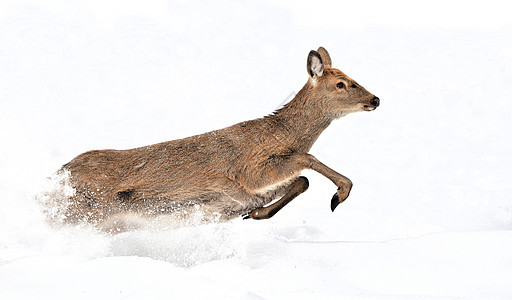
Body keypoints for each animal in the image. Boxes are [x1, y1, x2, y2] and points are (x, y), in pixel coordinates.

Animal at [45, 46, 380, 230]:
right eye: (341, 84)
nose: (375, 99)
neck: (279, 134)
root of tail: (58, 174)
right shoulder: (249, 171)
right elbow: (307, 160)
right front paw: (340, 194)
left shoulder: (255, 188)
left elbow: (301, 181)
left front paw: (256, 214)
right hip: (87, 208)